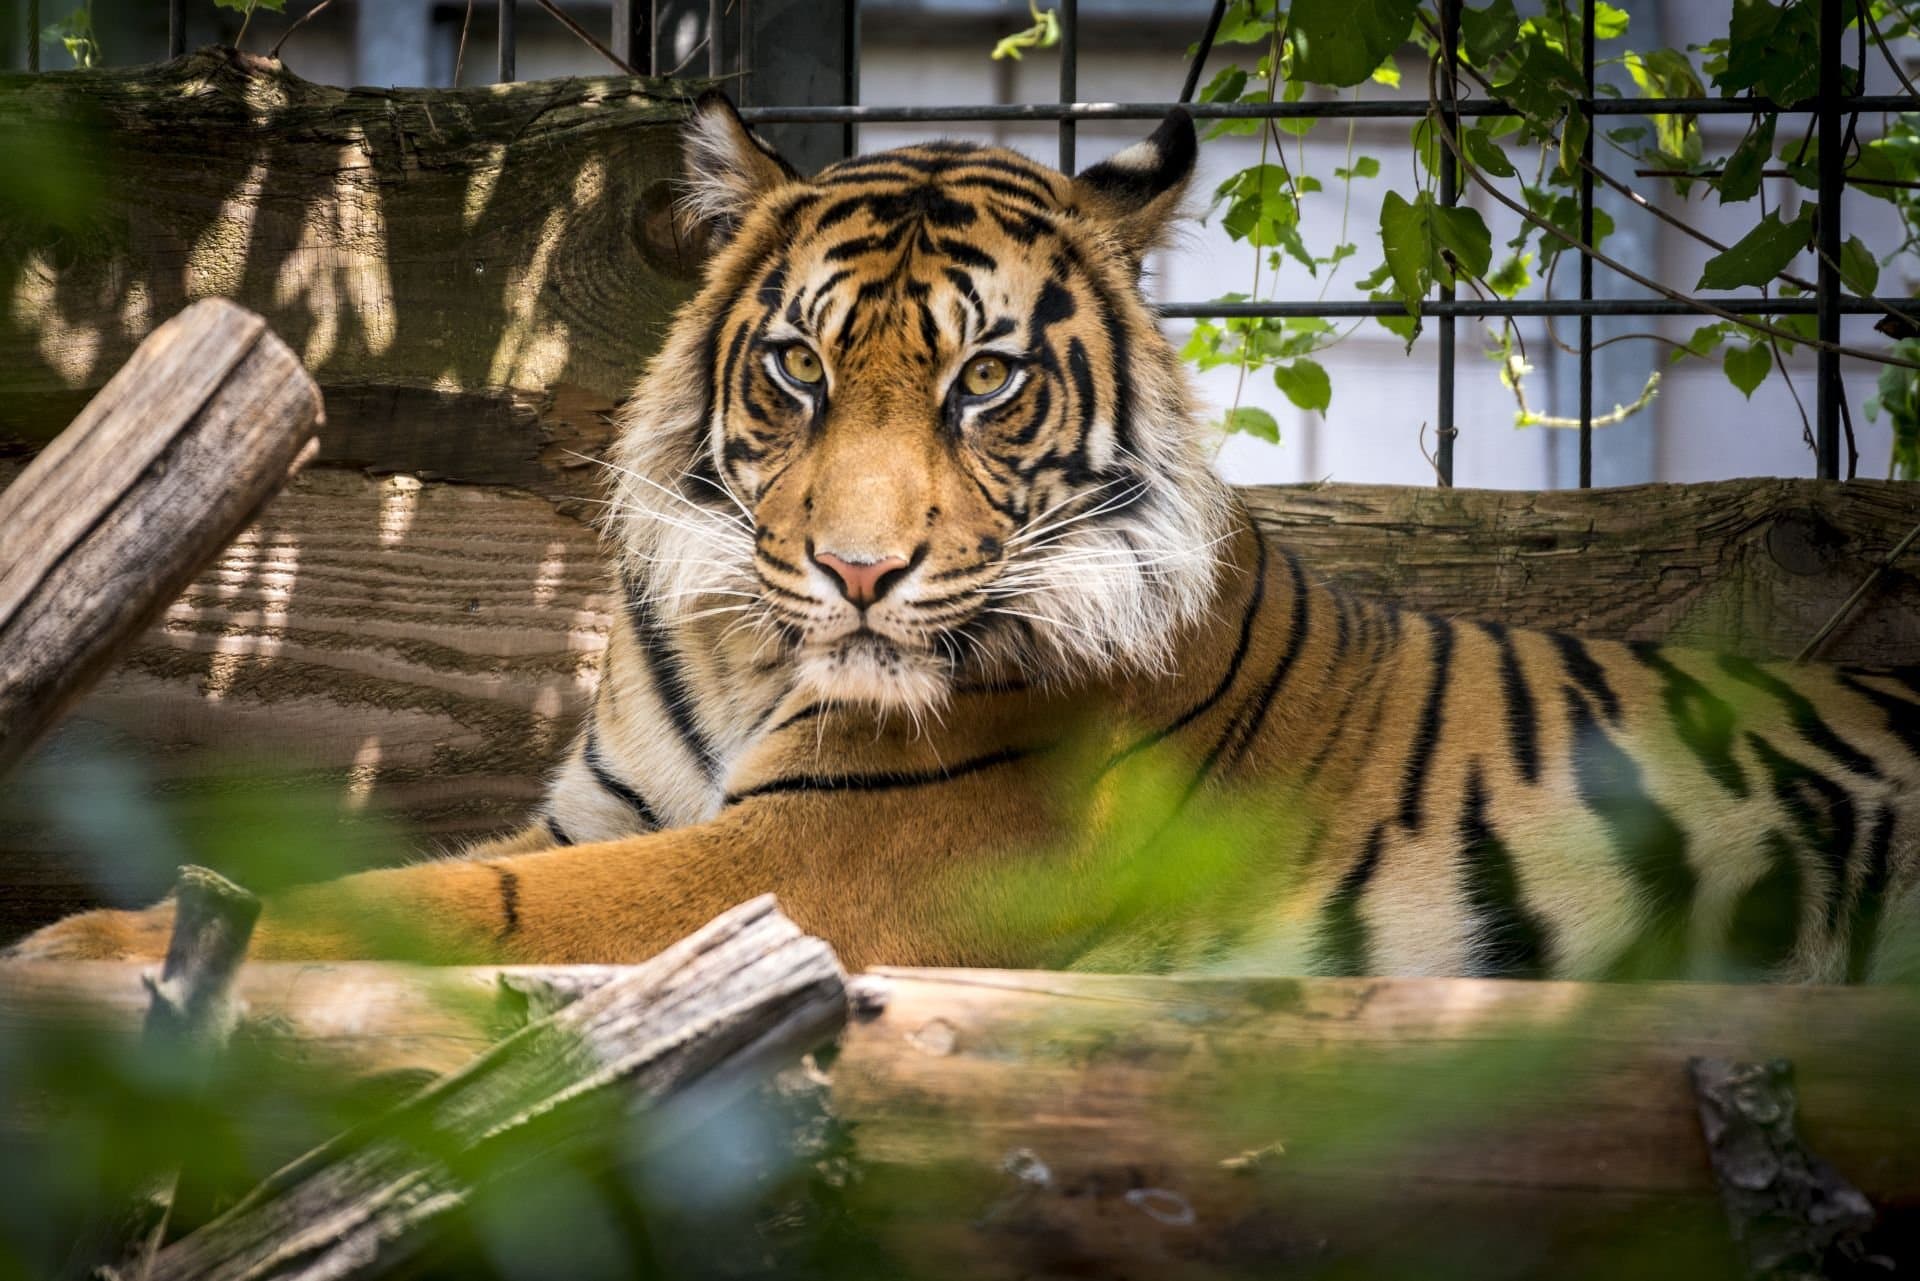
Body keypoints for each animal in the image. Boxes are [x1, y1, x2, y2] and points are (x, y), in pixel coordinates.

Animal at [13, 93, 1920, 984]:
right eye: (796, 366)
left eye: (986, 381)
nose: (858, 574)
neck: (743, 651)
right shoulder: (618, 808)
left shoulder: (812, 857)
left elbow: (436, 906)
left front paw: (73, 955)